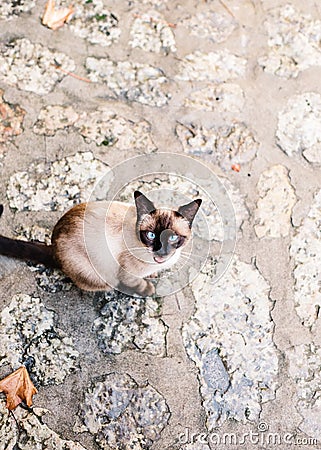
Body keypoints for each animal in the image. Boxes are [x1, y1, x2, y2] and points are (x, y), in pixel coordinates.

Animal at [0, 192, 200, 296]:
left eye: (172, 238)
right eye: (151, 235)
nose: (161, 252)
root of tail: (54, 247)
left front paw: (153, 275)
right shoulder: (126, 272)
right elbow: (137, 283)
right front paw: (148, 289)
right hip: (99, 274)